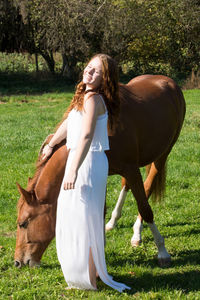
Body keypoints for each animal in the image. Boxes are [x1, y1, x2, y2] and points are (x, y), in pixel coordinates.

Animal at [14, 74, 186, 268]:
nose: (17, 262)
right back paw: (113, 222)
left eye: (23, 223)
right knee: (126, 186)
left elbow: (145, 208)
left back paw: (137, 234)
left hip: (162, 155)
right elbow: (99, 211)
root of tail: (167, 80)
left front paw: (162, 251)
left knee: (147, 188)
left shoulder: (131, 169)